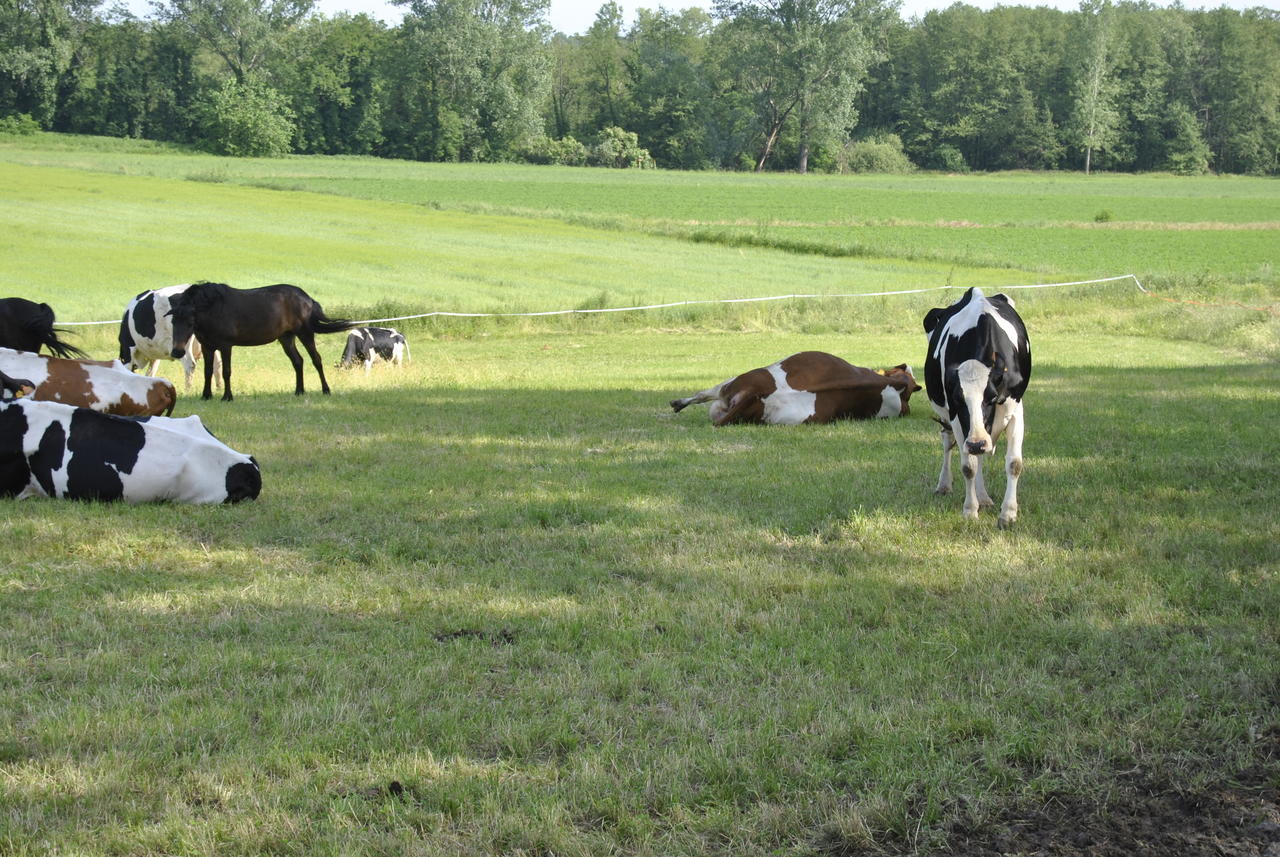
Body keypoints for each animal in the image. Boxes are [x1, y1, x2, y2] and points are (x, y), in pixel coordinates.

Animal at [166, 281, 355, 404]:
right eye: (173, 321)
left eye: (190, 322)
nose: (177, 352)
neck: (214, 309)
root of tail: (307, 299)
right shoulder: (207, 347)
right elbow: (207, 372)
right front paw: (206, 396)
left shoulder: (226, 346)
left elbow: (226, 371)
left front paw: (227, 397)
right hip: (286, 338)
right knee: (298, 361)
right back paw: (299, 391)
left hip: (305, 333)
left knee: (316, 359)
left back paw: (326, 390)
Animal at [921, 289, 1029, 529]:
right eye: (958, 399)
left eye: (992, 397)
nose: (977, 443)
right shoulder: (955, 416)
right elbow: (968, 466)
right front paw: (970, 510)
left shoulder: (1015, 409)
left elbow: (1014, 464)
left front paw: (1008, 513)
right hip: (951, 422)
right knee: (948, 444)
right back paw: (946, 485)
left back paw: (983, 497)